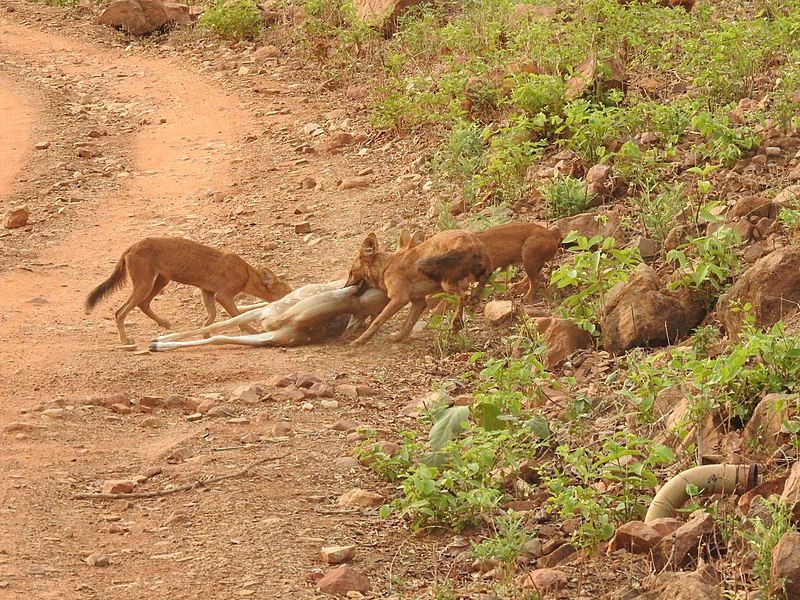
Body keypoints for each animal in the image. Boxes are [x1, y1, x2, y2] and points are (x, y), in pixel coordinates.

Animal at [85, 237, 290, 344]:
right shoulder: (223, 295)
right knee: (120, 312)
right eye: (288, 292)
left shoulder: (207, 291)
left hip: (160, 281)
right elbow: (237, 317)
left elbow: (210, 317)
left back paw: (165, 324)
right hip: (145, 284)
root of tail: (133, 245)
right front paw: (254, 332)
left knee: (143, 304)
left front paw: (206, 334)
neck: (246, 273)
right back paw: (125, 340)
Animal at [346, 227, 494, 344]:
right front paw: (397, 338)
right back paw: (473, 303)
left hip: (446, 282)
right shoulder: (418, 302)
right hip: (482, 272)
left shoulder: (399, 298)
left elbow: (377, 321)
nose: (345, 286)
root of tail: (468, 240)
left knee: (463, 295)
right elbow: (407, 324)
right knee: (477, 286)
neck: (387, 267)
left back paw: (456, 323)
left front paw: (360, 341)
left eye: (351, 272)